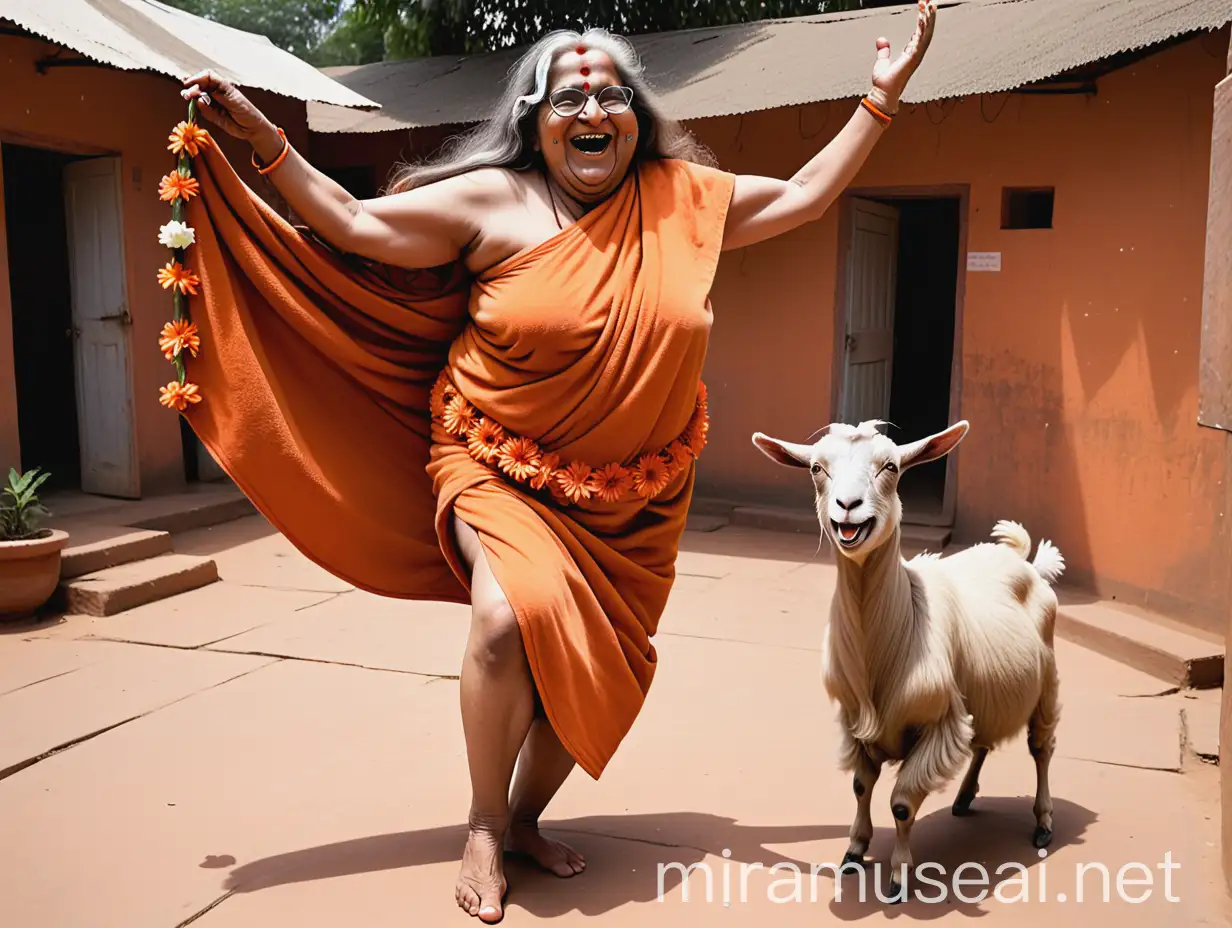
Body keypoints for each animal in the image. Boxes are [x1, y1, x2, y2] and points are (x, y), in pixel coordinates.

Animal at [744, 419, 1064, 897]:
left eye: (891, 467)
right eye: (817, 468)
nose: (848, 507)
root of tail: (1027, 562)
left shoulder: (938, 723)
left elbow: (900, 805)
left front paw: (897, 876)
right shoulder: (856, 721)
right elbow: (861, 787)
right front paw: (854, 852)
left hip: (1046, 683)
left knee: (1041, 748)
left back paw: (1043, 823)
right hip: (987, 689)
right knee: (984, 741)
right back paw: (964, 798)